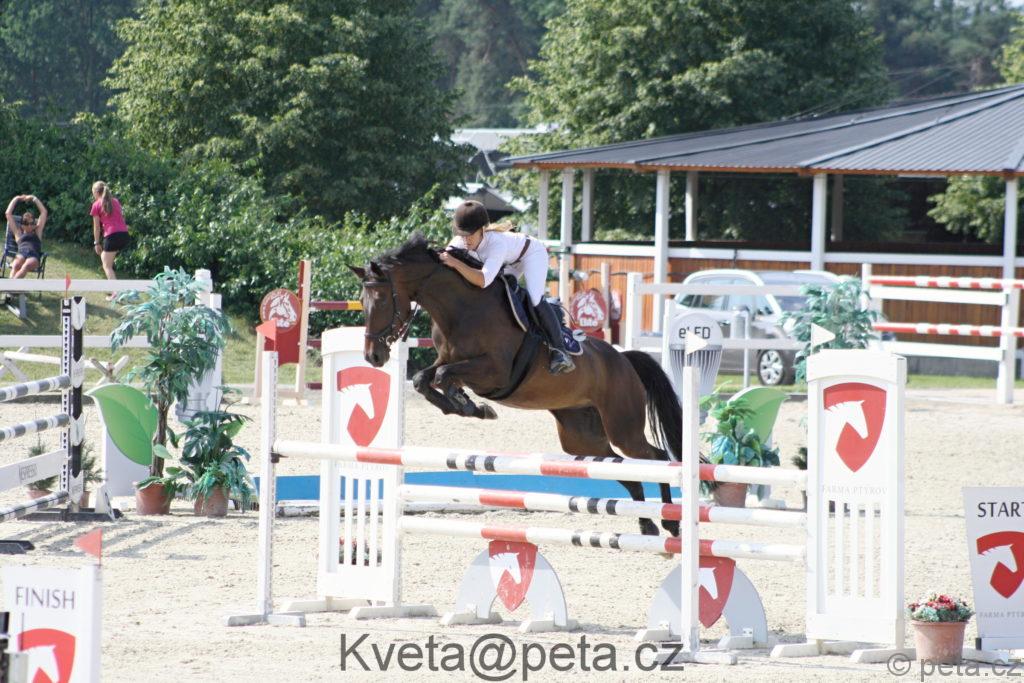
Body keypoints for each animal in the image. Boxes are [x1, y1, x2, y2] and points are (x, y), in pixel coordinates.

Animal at [349, 234, 684, 537]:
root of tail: (623, 359)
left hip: (622, 426)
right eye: (363, 302)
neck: (461, 309)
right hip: (582, 437)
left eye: (381, 300)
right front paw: (469, 407)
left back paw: (671, 522)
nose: (373, 356)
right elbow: (424, 379)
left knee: (655, 457)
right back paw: (646, 523)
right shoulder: (447, 360)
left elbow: (445, 375)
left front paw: (469, 404)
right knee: (620, 467)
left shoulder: (495, 372)